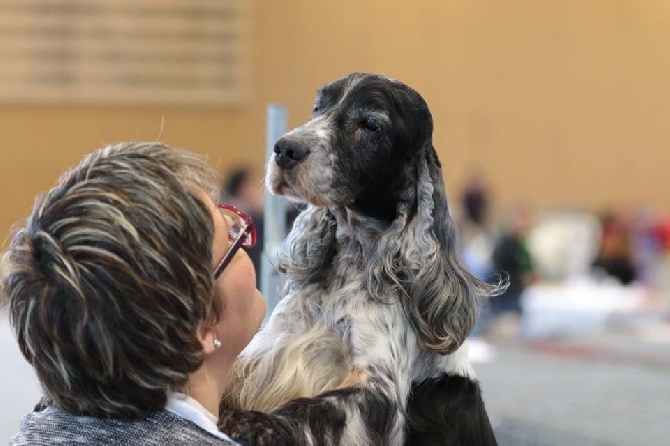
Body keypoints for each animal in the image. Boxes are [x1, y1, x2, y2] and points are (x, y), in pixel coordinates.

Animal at [220, 73, 504, 446]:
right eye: (318, 107)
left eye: (370, 124)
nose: (285, 149)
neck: (350, 262)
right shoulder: (266, 351)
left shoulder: (375, 386)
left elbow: (313, 408)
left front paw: (255, 423)